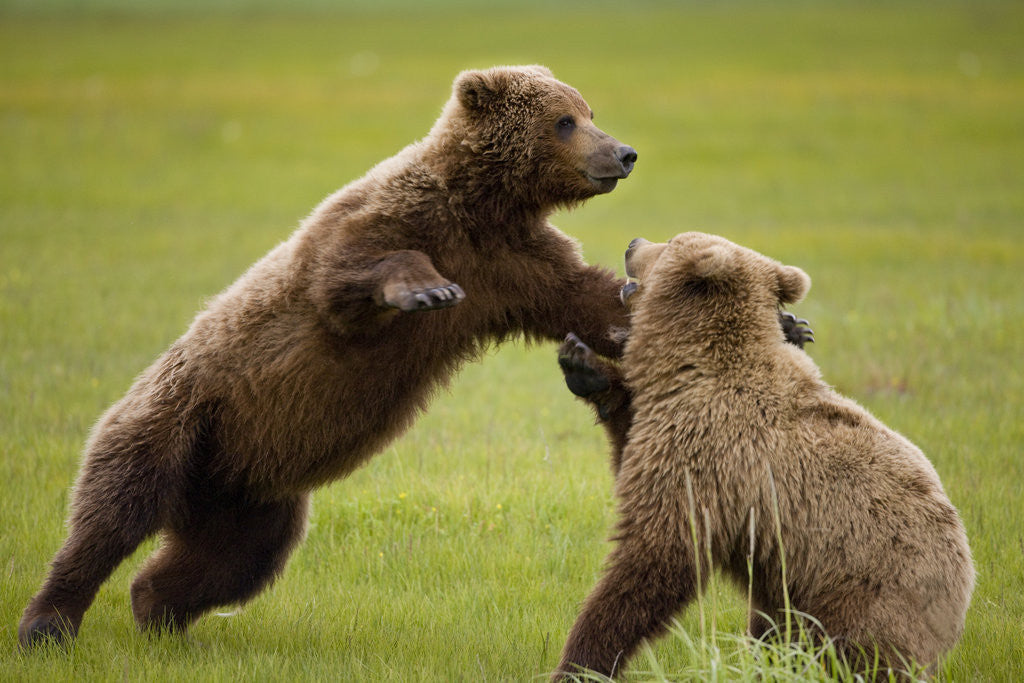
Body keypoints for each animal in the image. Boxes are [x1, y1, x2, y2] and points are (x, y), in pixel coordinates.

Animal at [17, 65, 641, 648]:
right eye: (565, 120)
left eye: (588, 111)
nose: (624, 152)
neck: (480, 206)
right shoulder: (388, 224)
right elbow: (344, 276)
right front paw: (427, 289)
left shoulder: (516, 265)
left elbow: (586, 297)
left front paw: (631, 306)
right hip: (176, 418)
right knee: (113, 512)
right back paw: (48, 622)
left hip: (247, 496)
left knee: (231, 560)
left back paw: (160, 616)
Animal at [552, 233, 974, 679]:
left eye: (671, 241)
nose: (634, 242)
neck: (697, 365)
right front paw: (584, 365)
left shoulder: (712, 454)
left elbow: (660, 552)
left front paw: (582, 661)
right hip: (791, 589)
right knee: (773, 631)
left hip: (864, 590)